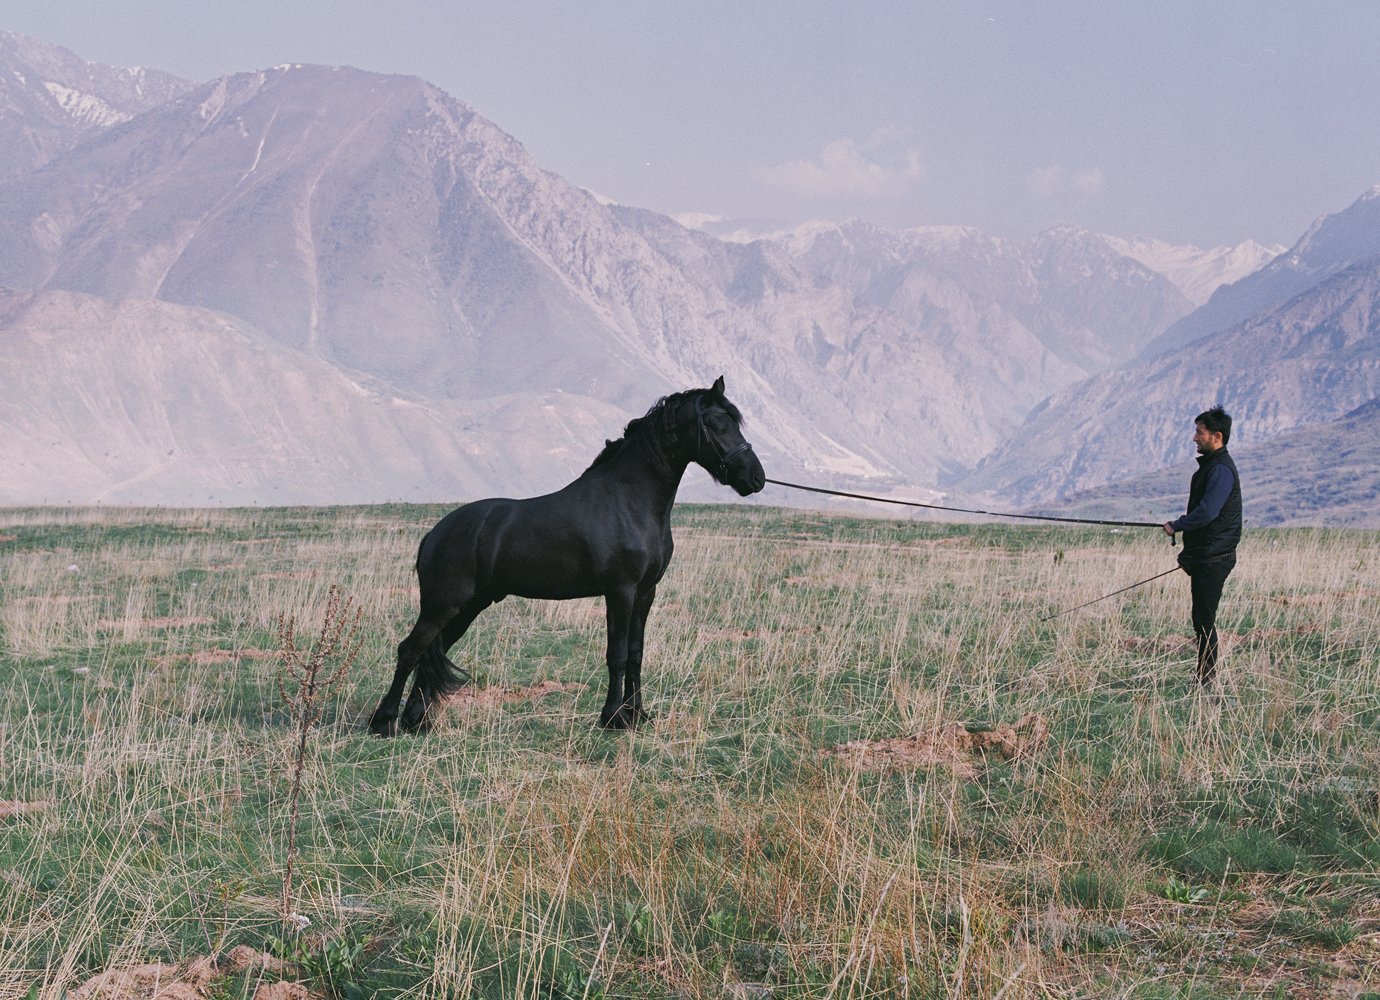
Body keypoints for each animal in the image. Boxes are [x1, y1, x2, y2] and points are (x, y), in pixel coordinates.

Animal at [369, 375, 767, 733]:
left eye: (735, 421)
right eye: (716, 423)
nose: (756, 478)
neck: (629, 501)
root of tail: (435, 533)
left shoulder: (645, 594)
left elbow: (636, 654)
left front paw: (638, 715)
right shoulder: (620, 592)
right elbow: (617, 655)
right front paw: (613, 717)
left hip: (467, 607)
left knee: (432, 651)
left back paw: (417, 721)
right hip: (442, 605)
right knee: (410, 650)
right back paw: (384, 721)